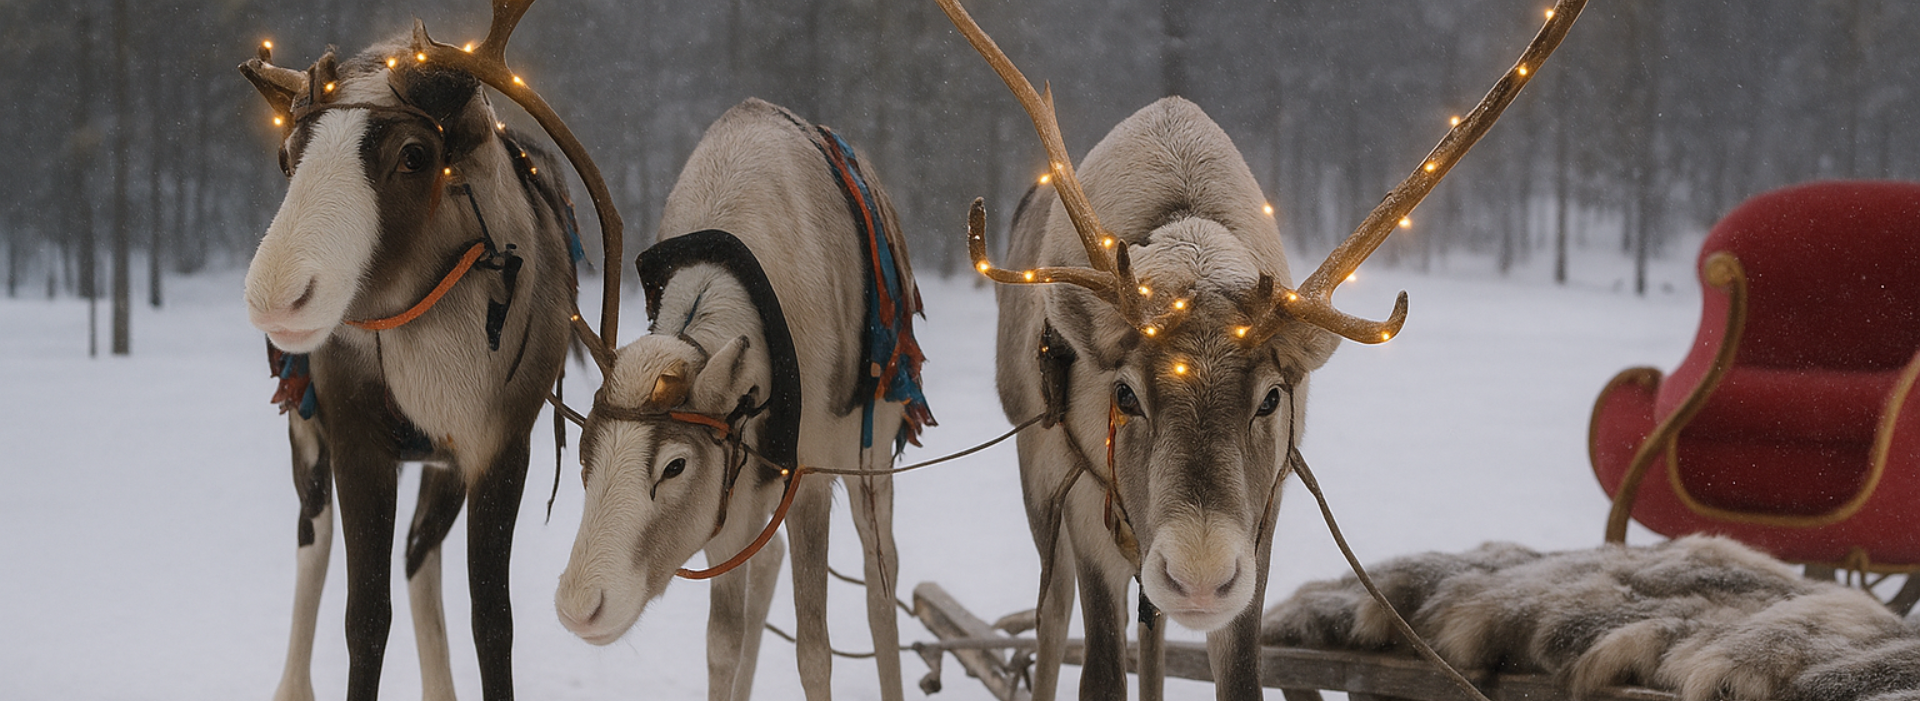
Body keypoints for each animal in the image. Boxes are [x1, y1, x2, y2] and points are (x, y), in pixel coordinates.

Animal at [237, 2, 630, 699]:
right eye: (288, 157)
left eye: (414, 155)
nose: (276, 296)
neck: (443, 362)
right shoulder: (358, 438)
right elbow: (365, 617)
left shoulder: (498, 445)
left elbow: (492, 621)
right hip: (308, 439)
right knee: (312, 544)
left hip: (441, 467)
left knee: (420, 554)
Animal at [553, 97, 933, 701]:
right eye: (584, 454)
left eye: (675, 465)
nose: (579, 607)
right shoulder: (726, 495)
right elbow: (720, 645)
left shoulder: (810, 477)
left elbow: (814, 652)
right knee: (769, 562)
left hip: (873, 456)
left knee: (882, 582)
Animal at [933, 0, 1588, 698]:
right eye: (1124, 394)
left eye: (1272, 397)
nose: (1198, 577)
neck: (1190, 246)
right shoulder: (1086, 511)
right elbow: (1100, 671)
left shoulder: (1261, 521)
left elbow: (1241, 674)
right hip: (1042, 483)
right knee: (1052, 621)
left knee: (1151, 632)